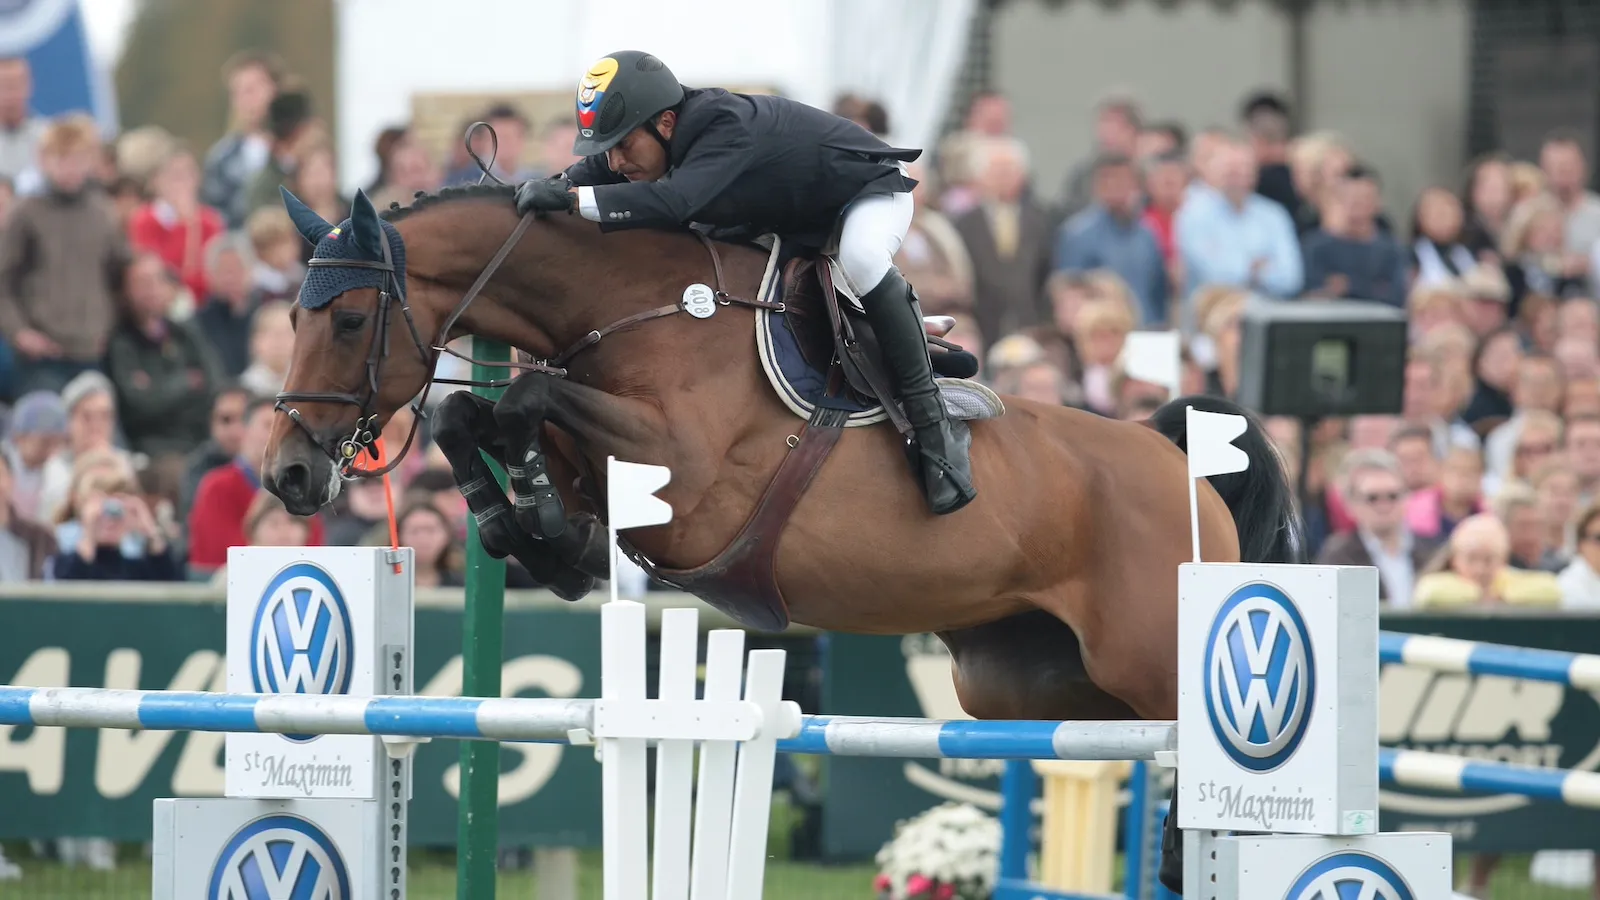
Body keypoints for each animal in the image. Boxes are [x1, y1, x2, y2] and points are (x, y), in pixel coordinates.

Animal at [262, 185, 1298, 888]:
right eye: (290, 317)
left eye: (346, 319)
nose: (288, 474)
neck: (629, 308)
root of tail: (1175, 461)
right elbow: (470, 419)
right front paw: (536, 534)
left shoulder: (684, 472)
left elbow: (520, 399)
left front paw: (544, 527)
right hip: (1026, 683)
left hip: (1148, 659)